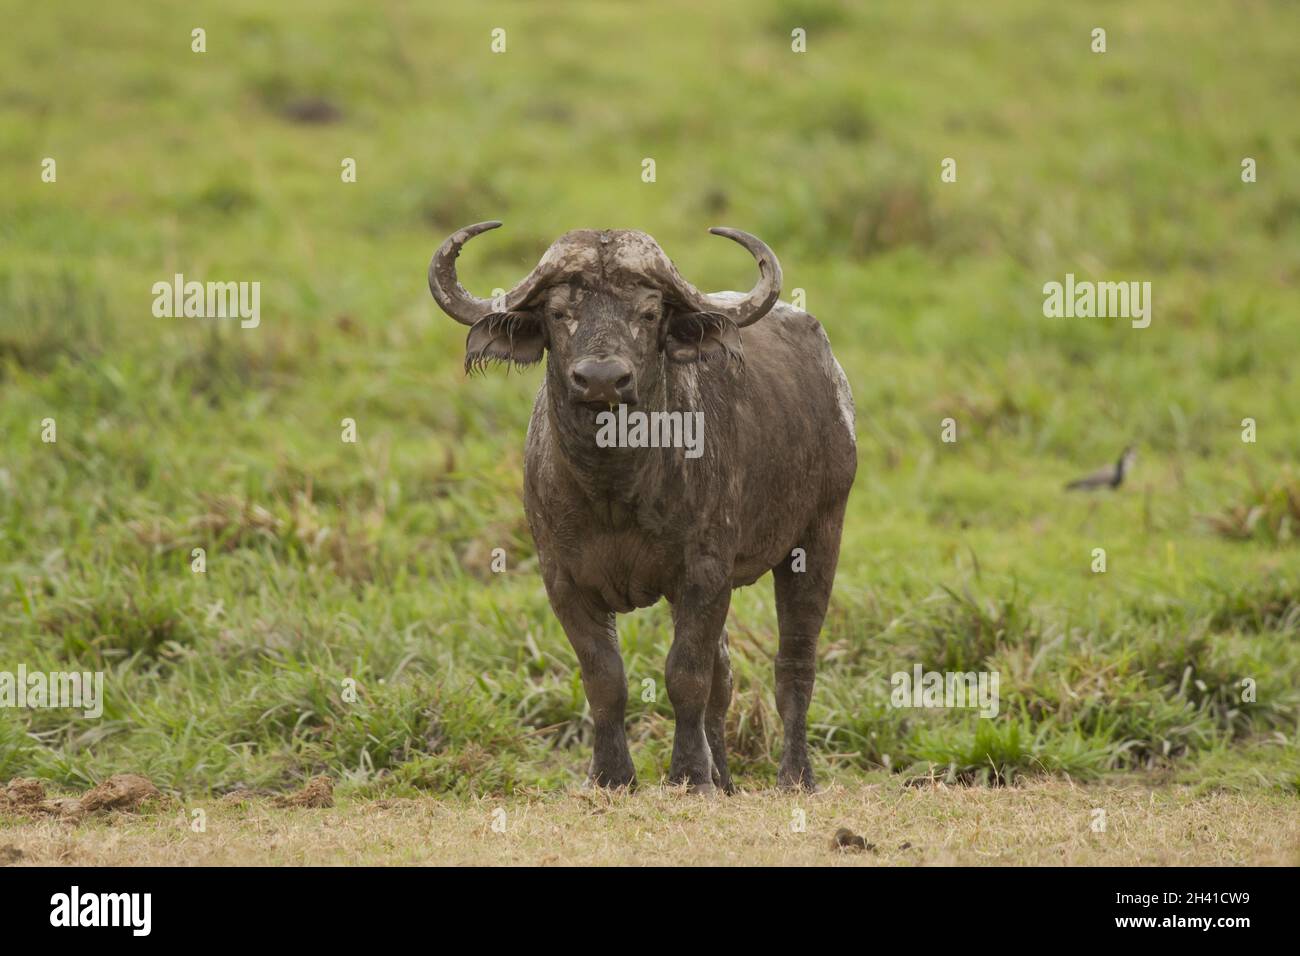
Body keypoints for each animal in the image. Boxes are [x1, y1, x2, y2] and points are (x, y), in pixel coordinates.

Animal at [429, 222, 856, 792]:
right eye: (559, 313)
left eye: (649, 313)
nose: (602, 379)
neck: (614, 489)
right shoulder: (562, 580)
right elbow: (605, 677)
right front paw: (612, 776)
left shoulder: (704, 573)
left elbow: (686, 676)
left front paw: (690, 775)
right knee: (725, 674)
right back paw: (725, 778)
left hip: (819, 534)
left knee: (794, 663)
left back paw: (794, 776)